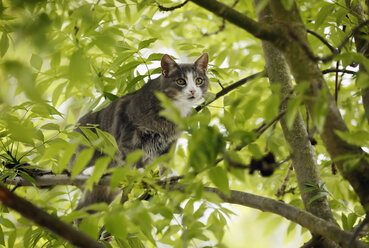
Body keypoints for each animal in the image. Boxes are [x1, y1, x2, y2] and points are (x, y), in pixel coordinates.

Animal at [71, 53, 208, 210]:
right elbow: (132, 152)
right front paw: (140, 171)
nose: (193, 91)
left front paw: (167, 176)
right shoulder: (129, 129)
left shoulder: (170, 140)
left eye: (199, 80)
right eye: (180, 81)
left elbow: (165, 159)